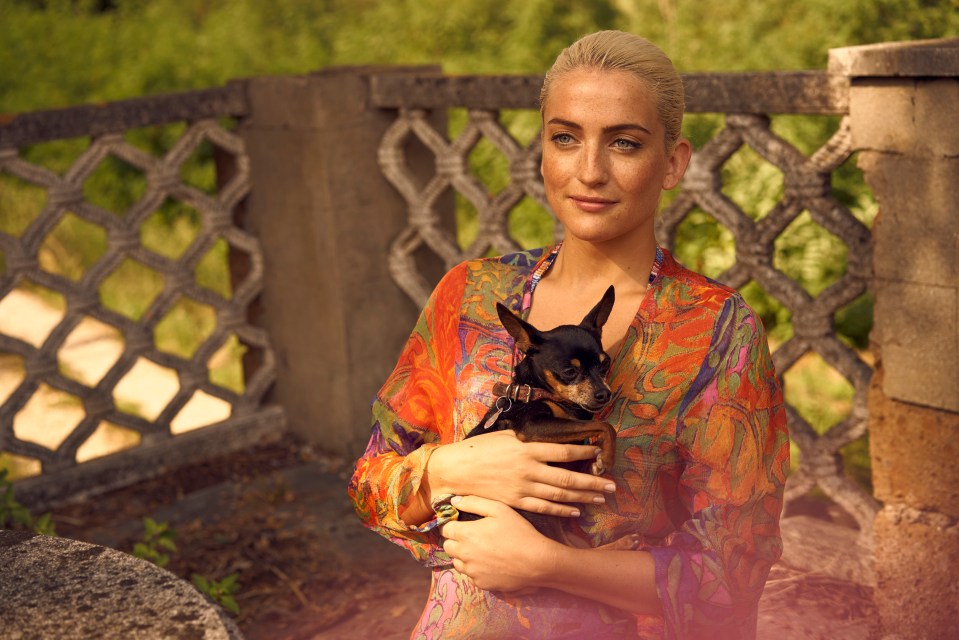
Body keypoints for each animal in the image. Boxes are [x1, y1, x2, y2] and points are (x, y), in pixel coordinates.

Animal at [462, 288, 628, 548]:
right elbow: (604, 425)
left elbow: (595, 425)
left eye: (605, 365)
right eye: (569, 372)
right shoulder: (532, 426)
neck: (536, 390)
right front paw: (607, 457)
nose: (604, 394)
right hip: (540, 517)